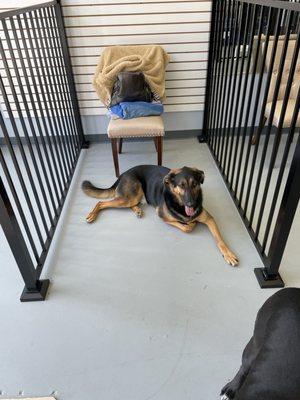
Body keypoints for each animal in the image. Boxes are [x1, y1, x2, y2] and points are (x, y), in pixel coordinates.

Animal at [82, 164, 239, 268]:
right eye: (181, 185)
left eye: (195, 184)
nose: (191, 204)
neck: (180, 205)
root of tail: (124, 173)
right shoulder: (163, 216)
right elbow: (186, 227)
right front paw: (190, 223)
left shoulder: (209, 218)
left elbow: (220, 240)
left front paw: (228, 254)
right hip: (130, 196)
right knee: (101, 202)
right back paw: (92, 215)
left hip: (133, 198)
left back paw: (138, 210)